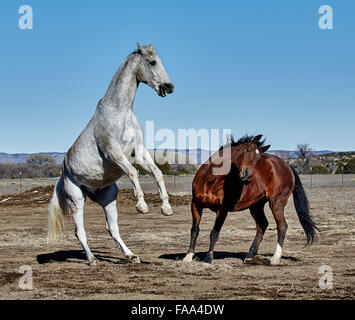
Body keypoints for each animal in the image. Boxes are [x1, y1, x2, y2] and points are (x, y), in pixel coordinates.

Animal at [47, 43, 175, 266]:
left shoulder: (138, 152)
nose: (169, 86)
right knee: (79, 231)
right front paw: (142, 206)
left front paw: (166, 208)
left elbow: (157, 173)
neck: (121, 111)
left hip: (107, 197)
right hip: (76, 198)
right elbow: (133, 173)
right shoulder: (113, 152)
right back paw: (91, 259)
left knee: (112, 228)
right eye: (152, 62)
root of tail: (64, 172)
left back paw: (131, 256)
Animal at [184, 134, 320, 264]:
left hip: (276, 203)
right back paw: (250, 256)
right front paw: (188, 257)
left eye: (258, 158)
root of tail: (288, 166)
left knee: (282, 226)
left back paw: (275, 258)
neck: (212, 179)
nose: (247, 174)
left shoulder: (222, 209)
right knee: (262, 225)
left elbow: (214, 233)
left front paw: (208, 259)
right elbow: (194, 230)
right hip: (256, 206)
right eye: (247, 149)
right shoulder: (196, 204)